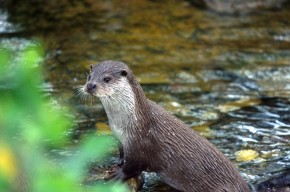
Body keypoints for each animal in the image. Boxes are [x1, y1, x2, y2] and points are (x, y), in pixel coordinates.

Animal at [82, 60, 251, 192]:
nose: (90, 85)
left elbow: (133, 167)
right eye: (89, 76)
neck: (131, 122)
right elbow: (122, 156)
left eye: (107, 78)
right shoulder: (120, 139)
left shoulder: (141, 144)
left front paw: (117, 174)